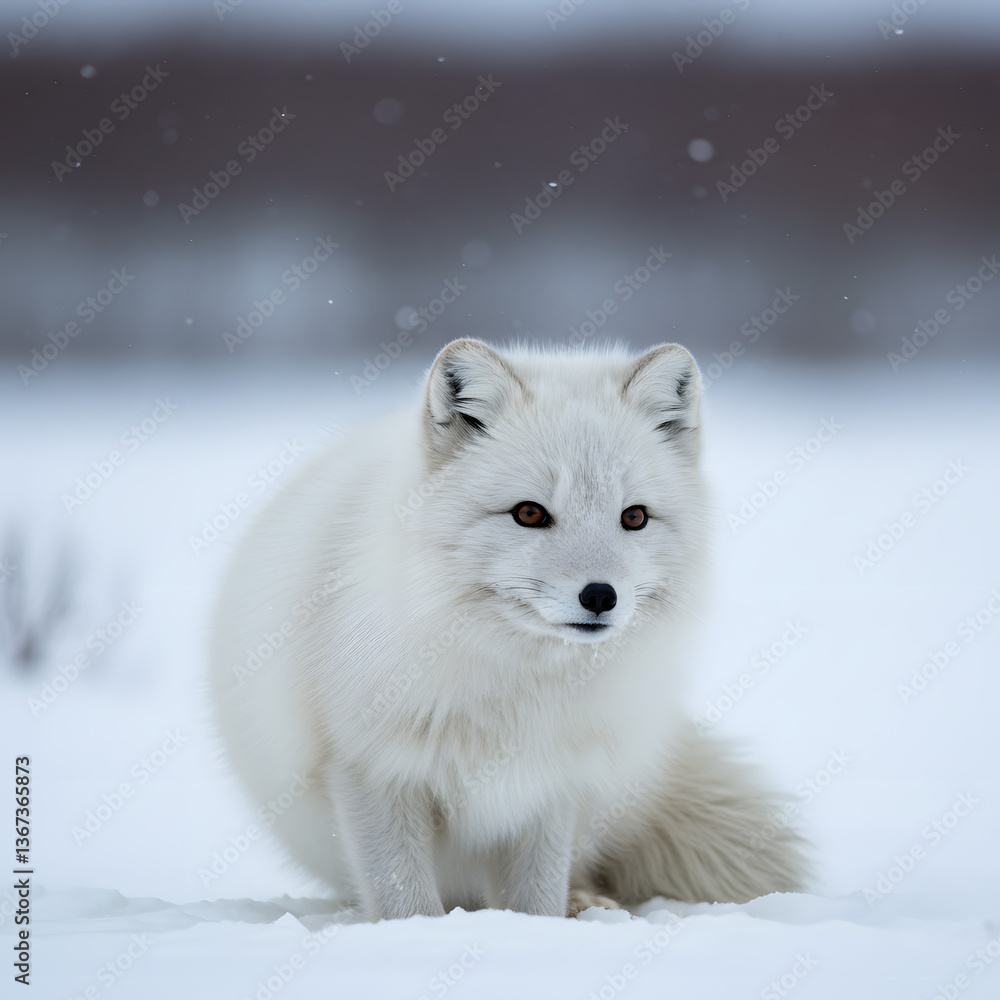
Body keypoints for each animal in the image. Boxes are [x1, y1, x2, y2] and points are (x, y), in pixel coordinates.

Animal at [209, 338, 808, 920]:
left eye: (634, 517)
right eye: (529, 513)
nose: (600, 596)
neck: (517, 690)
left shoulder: (549, 782)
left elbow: (536, 896)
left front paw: (536, 931)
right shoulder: (371, 767)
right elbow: (405, 899)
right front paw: (413, 936)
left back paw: (583, 902)